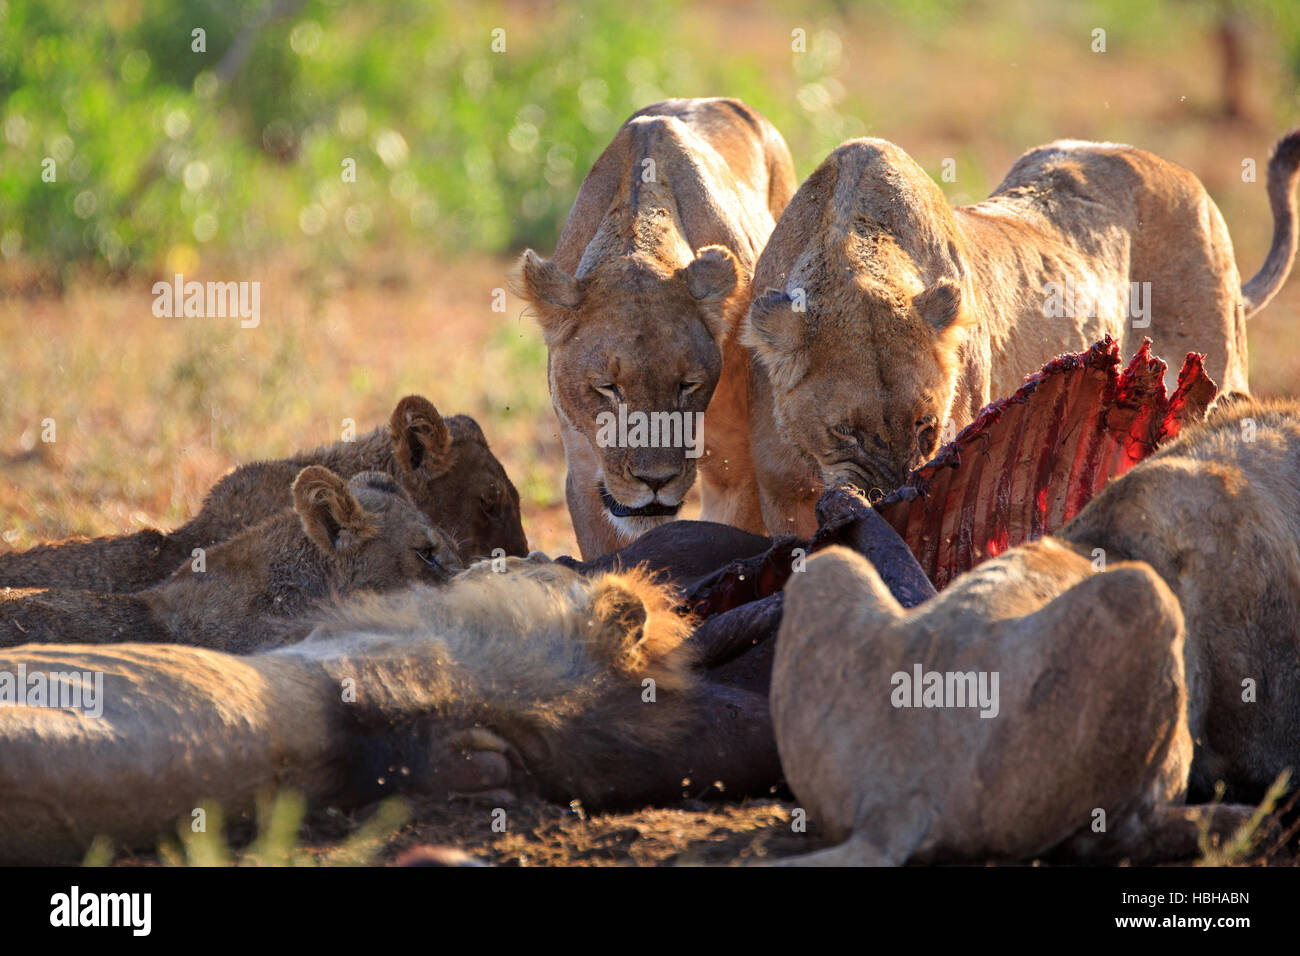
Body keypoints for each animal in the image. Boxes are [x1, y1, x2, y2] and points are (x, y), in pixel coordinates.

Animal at [743, 129, 1300, 537]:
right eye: (842, 431)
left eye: (926, 424)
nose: (887, 504)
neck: (853, 249)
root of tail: (1187, 178)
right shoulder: (779, 491)